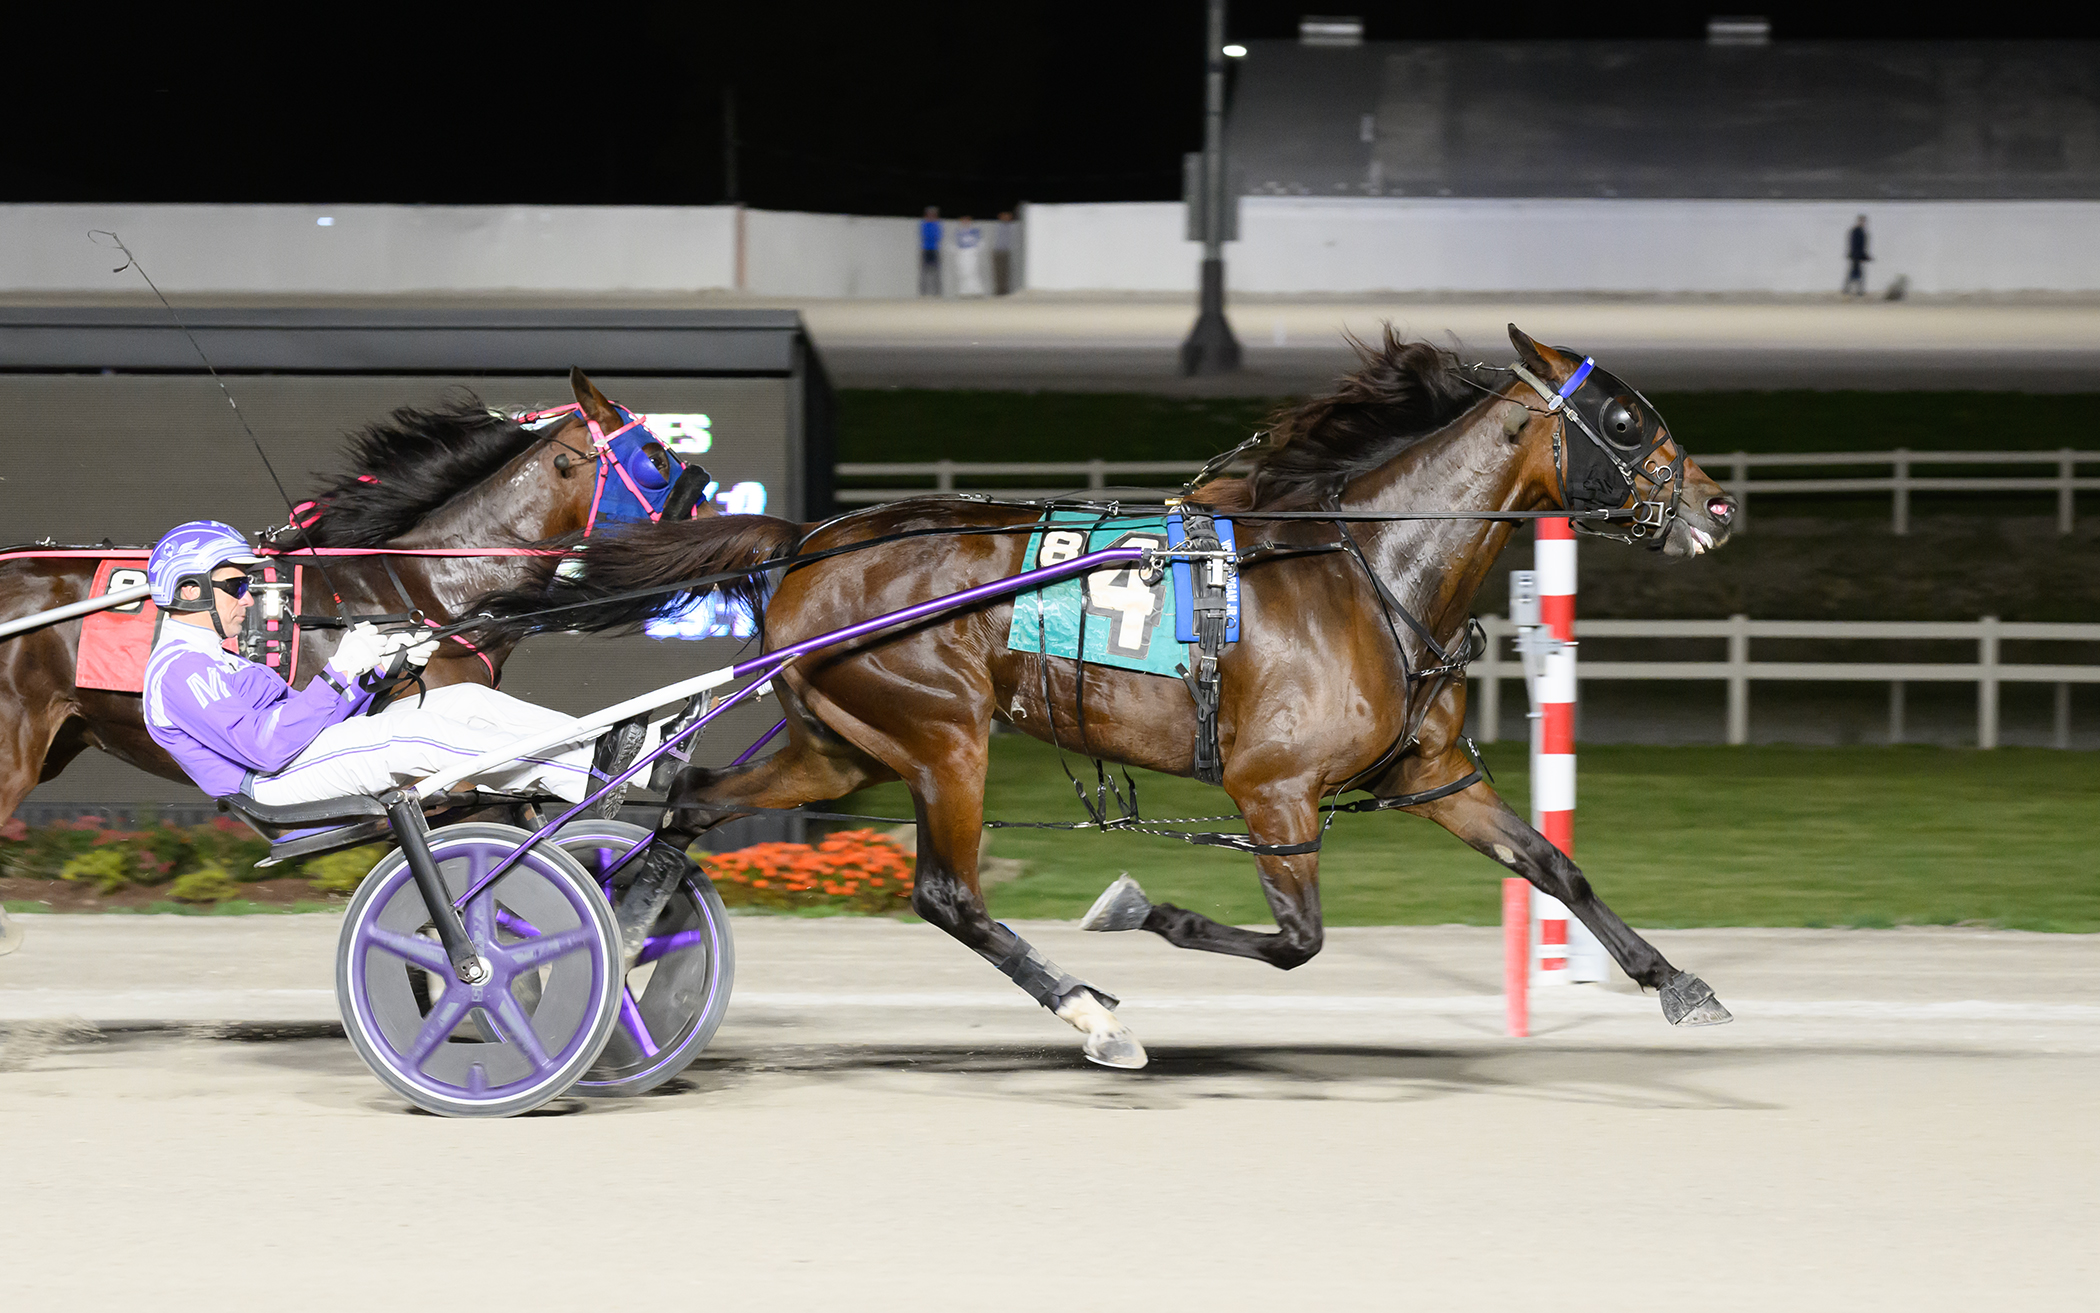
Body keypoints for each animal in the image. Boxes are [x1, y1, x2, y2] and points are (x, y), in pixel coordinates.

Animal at [469, 326, 1742, 1069]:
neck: (1364, 567)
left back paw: (620, 955)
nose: (1720, 506)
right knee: (946, 891)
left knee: (688, 797)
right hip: (942, 732)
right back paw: (1091, 1011)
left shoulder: (1434, 774)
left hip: (845, 740)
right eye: (1624, 420)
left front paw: (1681, 985)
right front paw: (1145, 909)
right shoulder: (1274, 790)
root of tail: (810, 540)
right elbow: (1298, 940)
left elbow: (1554, 864)